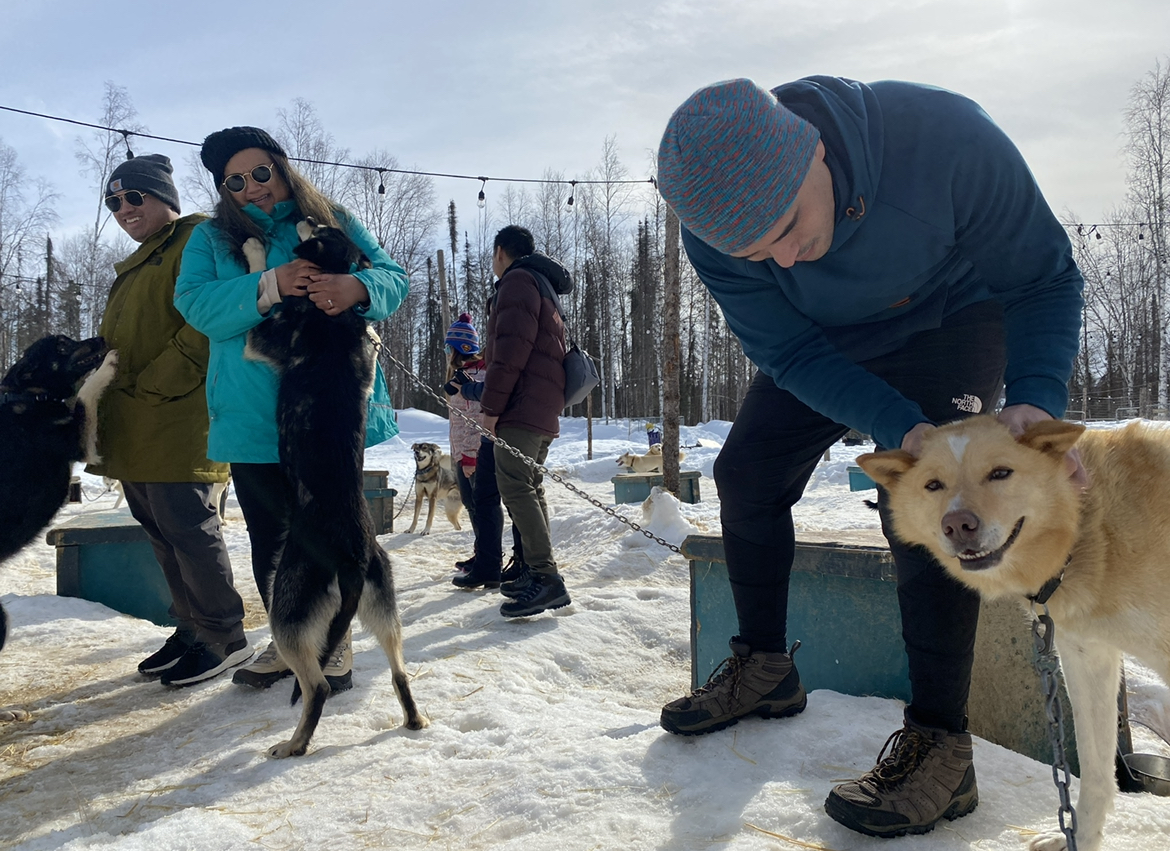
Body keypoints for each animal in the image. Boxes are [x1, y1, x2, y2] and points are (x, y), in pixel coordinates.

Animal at [0, 334, 116, 721]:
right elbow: (86, 393)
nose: (100, 337)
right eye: (62, 346)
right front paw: (109, 363)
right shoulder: (81, 437)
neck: (32, 398)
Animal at [858, 416, 1170, 851]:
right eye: (934, 485)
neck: (1086, 526)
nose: (958, 524)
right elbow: (1094, 770)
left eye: (1000, 473)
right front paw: (1079, 838)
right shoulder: (1087, 656)